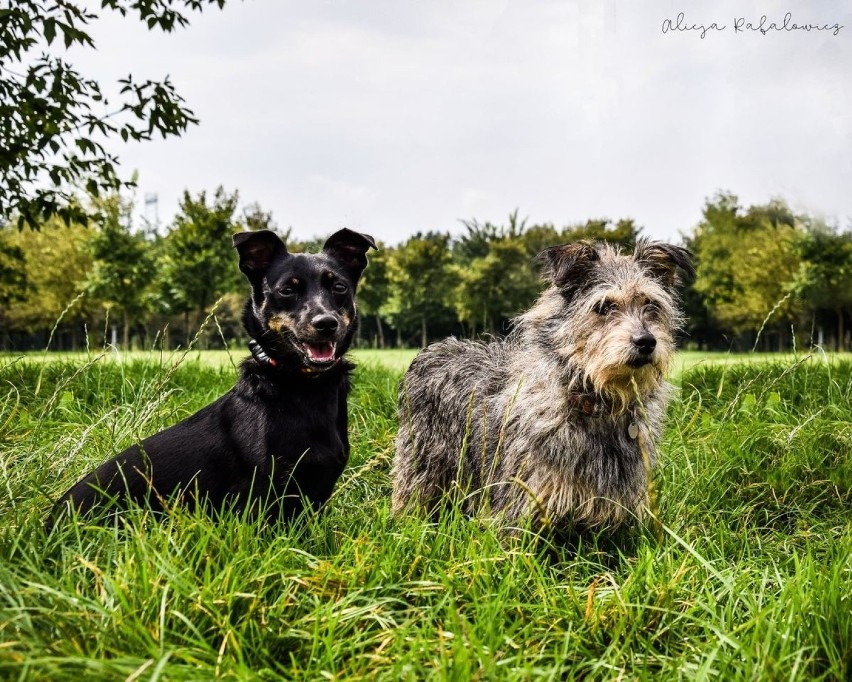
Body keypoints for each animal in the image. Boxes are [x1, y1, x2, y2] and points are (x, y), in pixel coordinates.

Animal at [392, 239, 692, 532]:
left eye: (651, 304)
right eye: (604, 307)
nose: (646, 341)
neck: (595, 404)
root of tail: (435, 348)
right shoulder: (519, 501)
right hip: (422, 464)